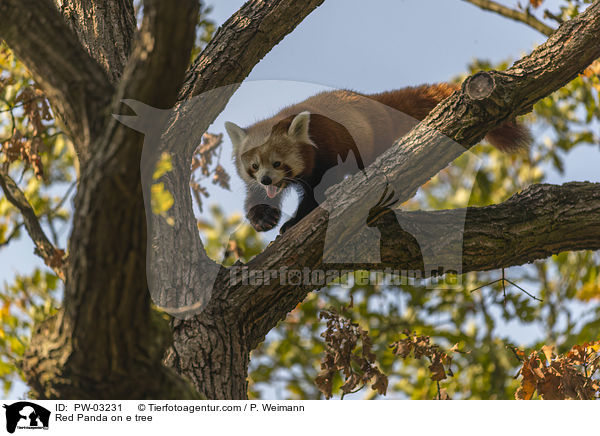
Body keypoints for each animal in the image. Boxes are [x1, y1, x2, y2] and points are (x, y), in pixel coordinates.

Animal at [225, 83, 528, 233]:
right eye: (254, 167)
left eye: (278, 163)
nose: (266, 179)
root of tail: (374, 99)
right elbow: (255, 197)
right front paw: (263, 217)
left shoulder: (328, 150)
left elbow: (316, 194)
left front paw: (294, 221)